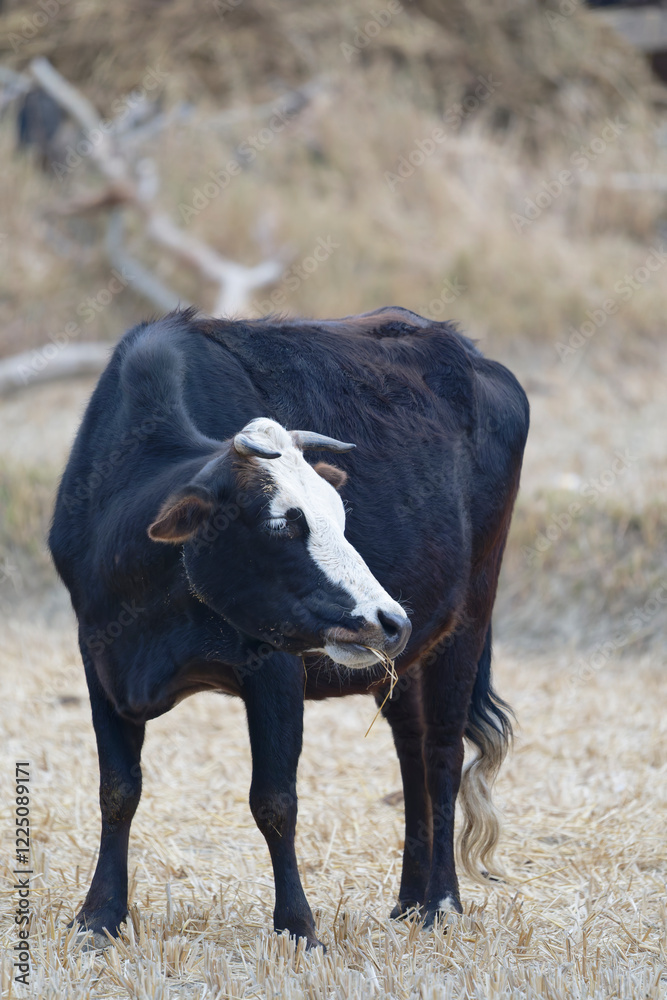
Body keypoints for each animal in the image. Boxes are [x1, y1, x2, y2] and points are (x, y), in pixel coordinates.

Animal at [49, 305, 529, 949]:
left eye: (341, 515)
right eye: (282, 522)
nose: (389, 619)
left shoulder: (274, 669)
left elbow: (275, 801)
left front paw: (298, 926)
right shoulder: (100, 658)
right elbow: (118, 791)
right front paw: (99, 917)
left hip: (465, 626)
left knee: (443, 753)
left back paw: (441, 904)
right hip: (405, 665)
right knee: (412, 754)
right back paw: (408, 900)